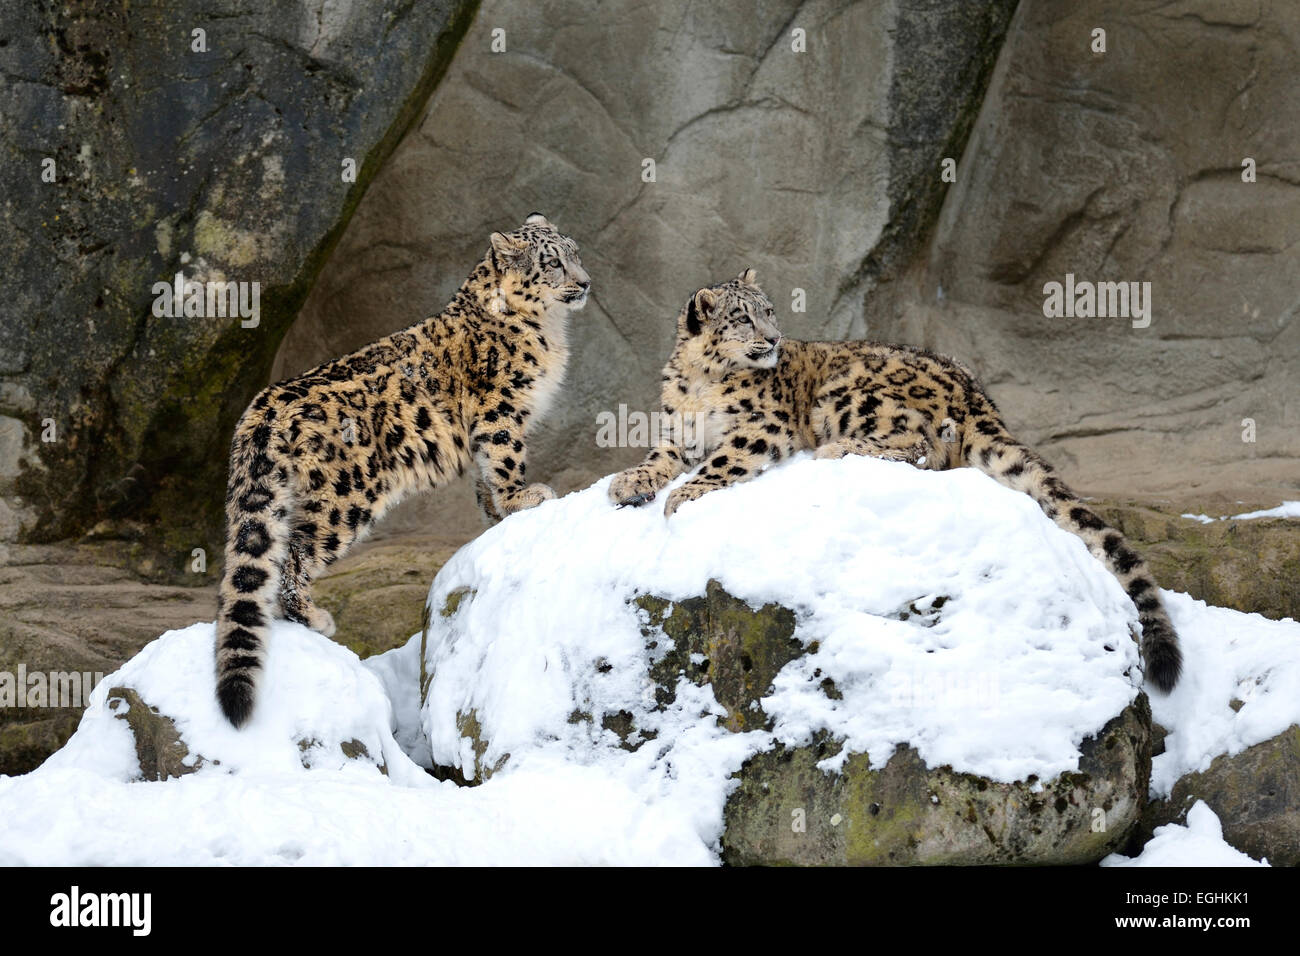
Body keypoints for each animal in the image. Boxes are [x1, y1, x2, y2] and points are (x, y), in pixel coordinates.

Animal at [215, 214, 592, 723]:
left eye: (575, 252)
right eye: (552, 262)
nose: (585, 282)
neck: (548, 329)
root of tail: (262, 409)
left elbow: (484, 481)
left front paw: (498, 516)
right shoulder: (500, 410)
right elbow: (504, 458)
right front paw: (524, 497)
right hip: (345, 495)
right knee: (294, 555)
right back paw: (314, 618)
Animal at [608, 269, 1180, 697]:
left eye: (769, 311)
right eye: (744, 317)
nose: (772, 339)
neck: (698, 386)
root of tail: (978, 395)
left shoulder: (761, 427)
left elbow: (723, 461)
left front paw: (680, 497)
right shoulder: (676, 436)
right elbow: (657, 460)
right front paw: (627, 484)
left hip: (850, 396)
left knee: (923, 446)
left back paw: (836, 450)